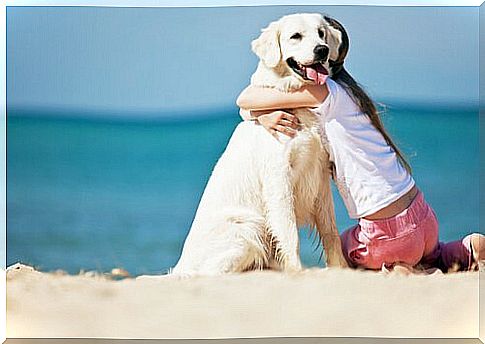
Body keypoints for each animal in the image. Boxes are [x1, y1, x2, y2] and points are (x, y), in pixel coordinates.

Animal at [170, 13, 348, 276]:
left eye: (321, 33)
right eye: (296, 36)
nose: (322, 50)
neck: (292, 101)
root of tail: (181, 266)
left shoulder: (320, 174)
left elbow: (330, 230)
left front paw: (341, 269)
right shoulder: (278, 176)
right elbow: (290, 233)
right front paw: (297, 271)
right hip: (246, 229)